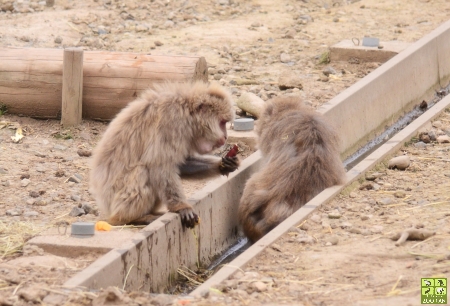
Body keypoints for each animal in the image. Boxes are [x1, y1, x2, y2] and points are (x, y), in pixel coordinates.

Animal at [89, 82, 241, 228]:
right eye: (222, 123)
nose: (226, 137)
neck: (187, 113)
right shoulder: (172, 122)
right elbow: (161, 166)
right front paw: (181, 207)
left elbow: (182, 163)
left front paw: (224, 164)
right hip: (114, 197)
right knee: (143, 170)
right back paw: (131, 218)